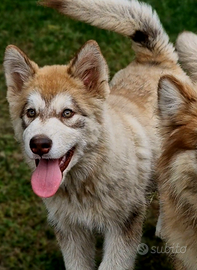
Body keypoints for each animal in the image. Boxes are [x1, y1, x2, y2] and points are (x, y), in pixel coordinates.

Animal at [3, 0, 190, 270]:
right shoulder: (70, 231)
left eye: (67, 113)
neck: (83, 186)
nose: (39, 144)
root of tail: (153, 58)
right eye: (30, 112)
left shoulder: (124, 225)